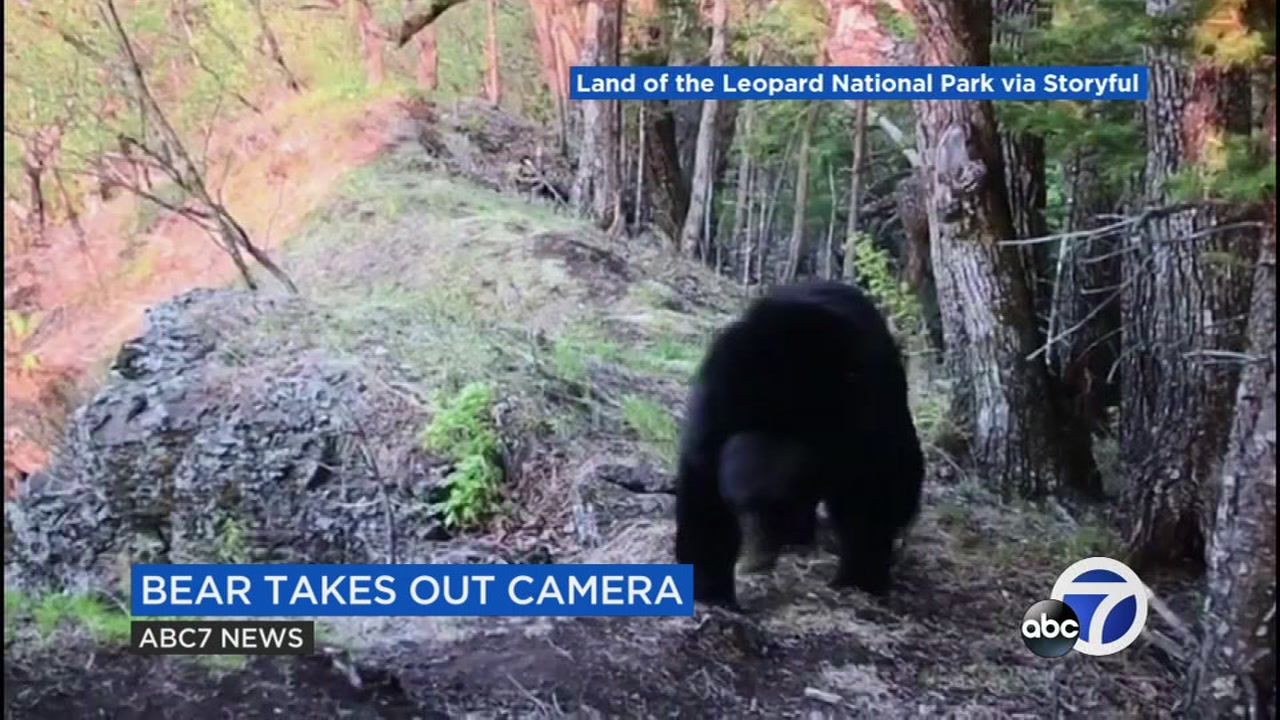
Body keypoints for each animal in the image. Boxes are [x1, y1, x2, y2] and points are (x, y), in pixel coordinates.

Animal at [673, 280, 925, 610]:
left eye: (780, 507)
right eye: (740, 507)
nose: (756, 562)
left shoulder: (862, 408)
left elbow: (877, 484)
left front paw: (859, 577)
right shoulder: (720, 402)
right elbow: (702, 484)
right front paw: (712, 590)